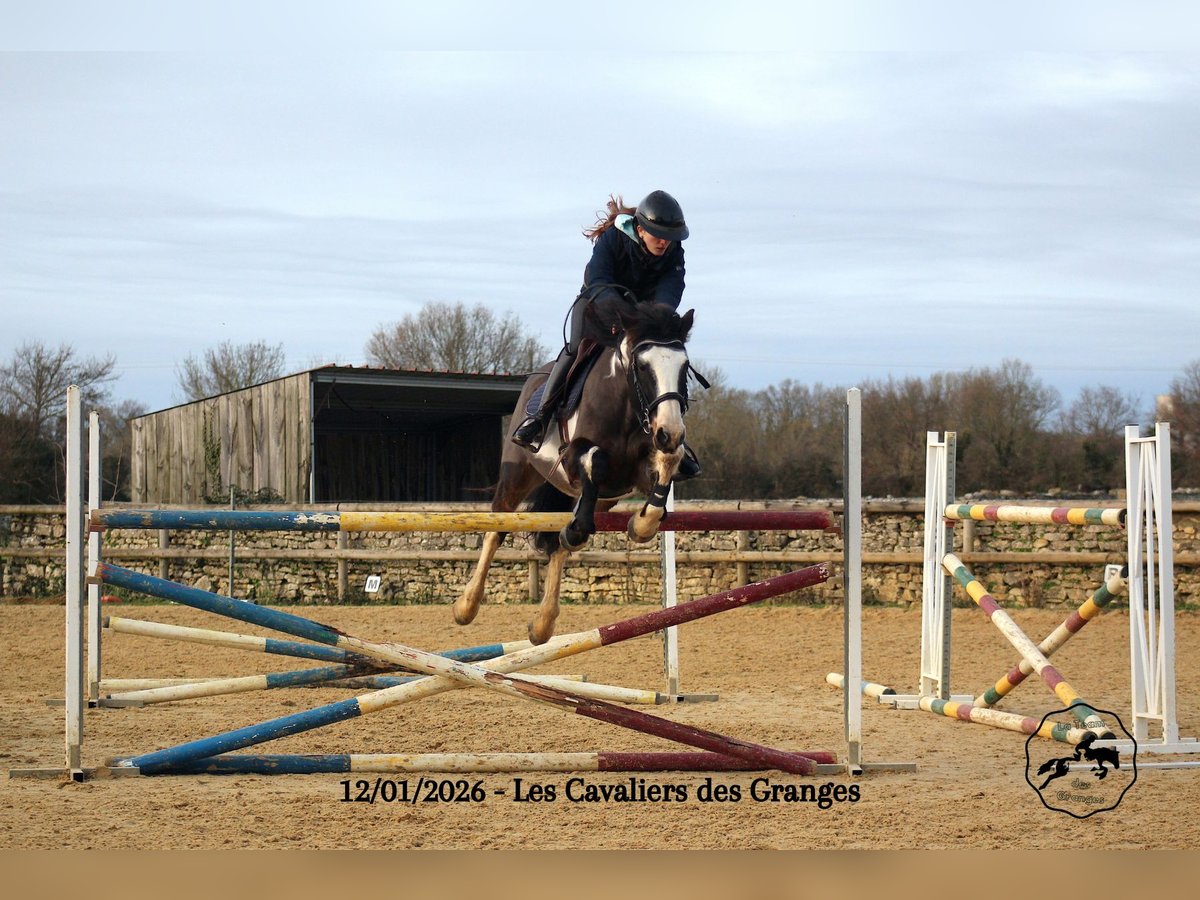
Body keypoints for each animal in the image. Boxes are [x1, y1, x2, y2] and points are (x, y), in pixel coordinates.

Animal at [455, 302, 698, 644]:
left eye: (684, 366)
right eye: (642, 366)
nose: (671, 432)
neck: (626, 406)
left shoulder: (637, 469)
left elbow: (666, 466)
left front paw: (641, 525)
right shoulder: (573, 455)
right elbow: (595, 460)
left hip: (599, 499)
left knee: (562, 540)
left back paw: (543, 623)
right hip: (517, 475)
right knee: (498, 526)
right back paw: (467, 605)